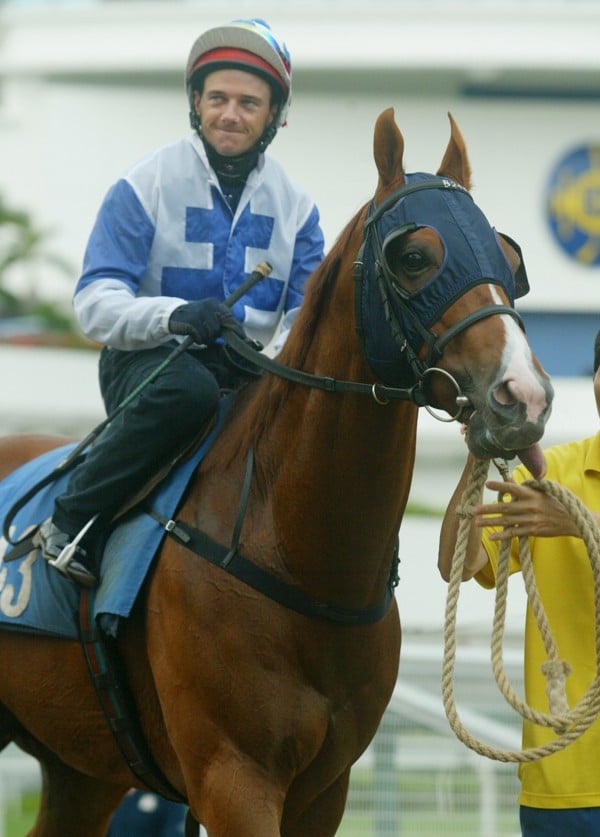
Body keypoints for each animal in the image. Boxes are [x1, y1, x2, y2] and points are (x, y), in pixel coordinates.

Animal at [0, 108, 552, 832]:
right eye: (413, 257)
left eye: (510, 259)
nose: (523, 396)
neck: (292, 550)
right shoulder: (233, 777)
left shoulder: (325, 788)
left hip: (81, 767)